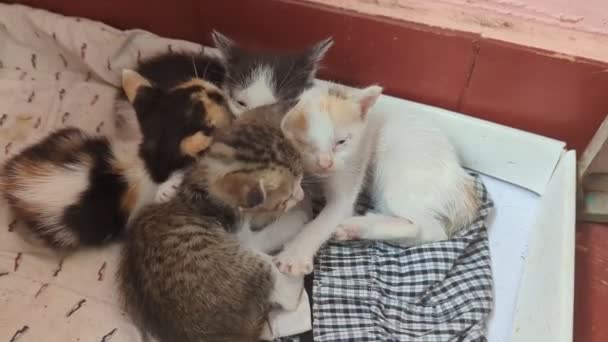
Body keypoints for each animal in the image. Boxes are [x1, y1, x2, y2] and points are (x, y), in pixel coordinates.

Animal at [0, 70, 233, 251]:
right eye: (206, 109)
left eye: (195, 84)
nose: (218, 92)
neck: (149, 160)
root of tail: (11, 179)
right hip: (61, 231)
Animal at [118, 107, 306, 342]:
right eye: (288, 197)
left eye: (302, 176)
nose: (302, 195)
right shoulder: (243, 235)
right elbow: (271, 232)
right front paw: (298, 217)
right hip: (249, 262)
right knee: (285, 295)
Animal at [274, 81, 480, 276]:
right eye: (303, 143)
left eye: (341, 142)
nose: (325, 163)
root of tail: (465, 187)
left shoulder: (351, 167)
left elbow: (325, 220)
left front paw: (294, 255)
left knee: (432, 231)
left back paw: (358, 225)